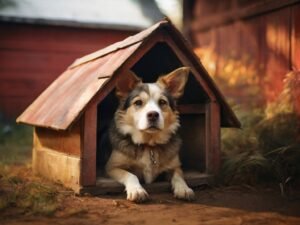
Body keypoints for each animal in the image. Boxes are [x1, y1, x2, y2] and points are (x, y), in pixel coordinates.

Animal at [105, 67, 195, 202]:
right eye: (138, 102)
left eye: (162, 102)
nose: (153, 115)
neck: (149, 144)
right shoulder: (111, 167)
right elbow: (130, 174)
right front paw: (137, 190)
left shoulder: (175, 166)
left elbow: (178, 175)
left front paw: (183, 189)